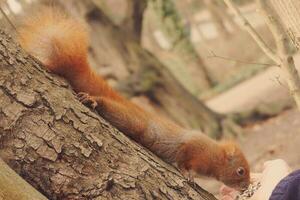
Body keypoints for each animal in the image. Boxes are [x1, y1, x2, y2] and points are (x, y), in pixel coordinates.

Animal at [17, 7, 250, 189]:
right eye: (240, 170)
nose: (246, 186)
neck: (214, 154)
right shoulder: (193, 146)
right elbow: (184, 159)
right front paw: (188, 174)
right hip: (133, 122)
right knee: (111, 108)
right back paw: (94, 100)